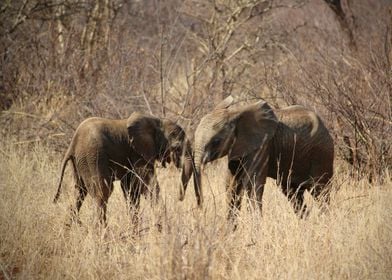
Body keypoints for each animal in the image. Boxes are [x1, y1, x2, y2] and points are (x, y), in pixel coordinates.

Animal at [52, 111, 194, 228]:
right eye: (176, 148)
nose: (179, 199)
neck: (157, 122)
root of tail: (72, 145)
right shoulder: (138, 154)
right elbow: (147, 184)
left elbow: (131, 190)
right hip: (92, 156)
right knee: (102, 192)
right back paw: (102, 234)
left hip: (80, 162)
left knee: (79, 192)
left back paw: (68, 228)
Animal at [190, 96, 334, 221]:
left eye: (216, 142)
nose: (201, 209)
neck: (235, 113)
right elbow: (232, 185)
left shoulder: (263, 146)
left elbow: (253, 184)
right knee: (292, 192)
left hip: (322, 154)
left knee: (320, 191)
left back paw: (324, 222)